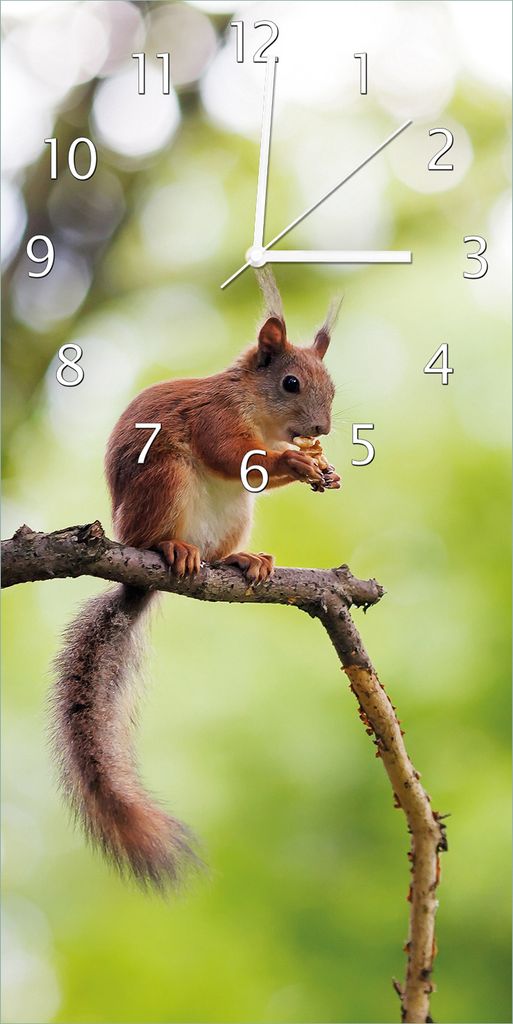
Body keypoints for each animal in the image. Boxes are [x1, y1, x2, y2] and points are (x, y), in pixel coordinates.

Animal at [52, 279, 341, 889]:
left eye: (332, 386)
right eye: (290, 383)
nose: (321, 432)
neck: (255, 409)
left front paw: (320, 467)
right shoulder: (213, 418)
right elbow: (232, 456)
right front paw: (297, 462)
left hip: (236, 515)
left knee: (220, 550)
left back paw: (244, 561)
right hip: (164, 482)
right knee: (162, 532)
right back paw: (172, 549)